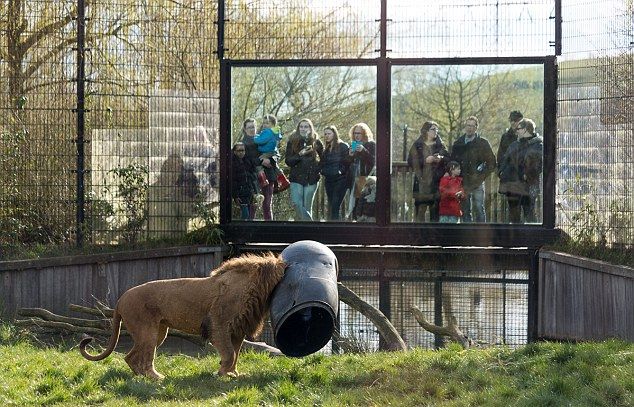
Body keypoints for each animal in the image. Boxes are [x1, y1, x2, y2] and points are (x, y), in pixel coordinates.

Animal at [78, 252, 286, 380]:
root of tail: (120, 300)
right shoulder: (218, 323)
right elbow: (229, 353)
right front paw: (221, 373)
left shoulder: (237, 330)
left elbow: (234, 354)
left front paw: (233, 374)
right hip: (148, 331)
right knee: (143, 357)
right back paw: (155, 378)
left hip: (158, 332)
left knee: (131, 357)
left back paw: (143, 376)